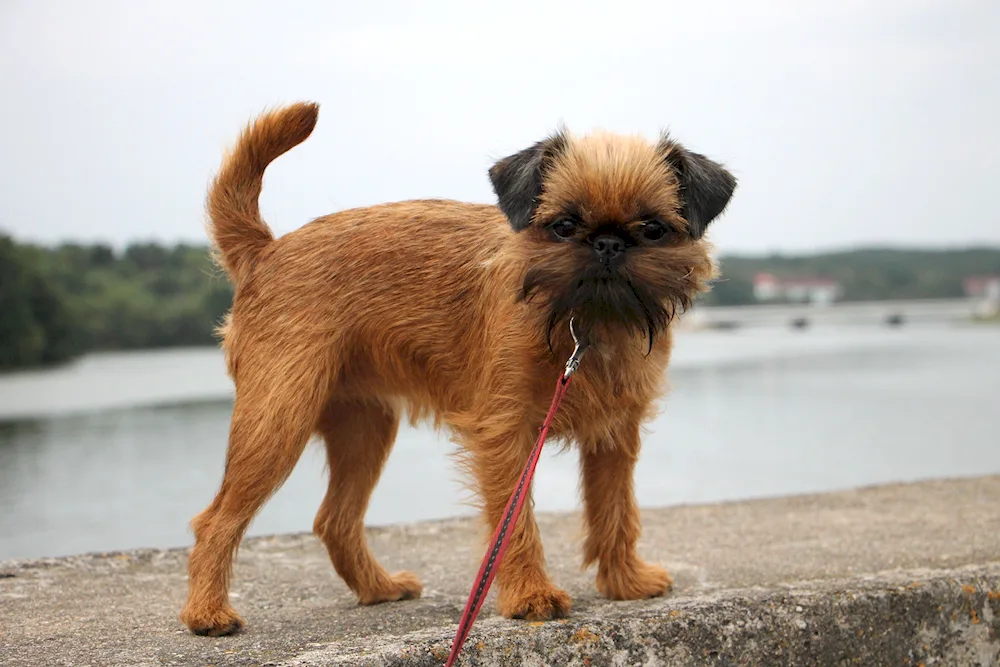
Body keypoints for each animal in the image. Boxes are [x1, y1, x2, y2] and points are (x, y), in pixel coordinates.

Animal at [180, 102, 736, 636]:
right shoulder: (506, 433)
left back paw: (378, 588)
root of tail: (267, 249)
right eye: (563, 226)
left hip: (365, 426)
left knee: (334, 520)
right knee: (217, 520)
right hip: (278, 420)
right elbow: (516, 521)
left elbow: (616, 510)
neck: (584, 324)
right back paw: (207, 613)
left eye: (652, 229)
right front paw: (531, 596)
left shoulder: (614, 437)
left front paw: (625, 582)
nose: (608, 243)